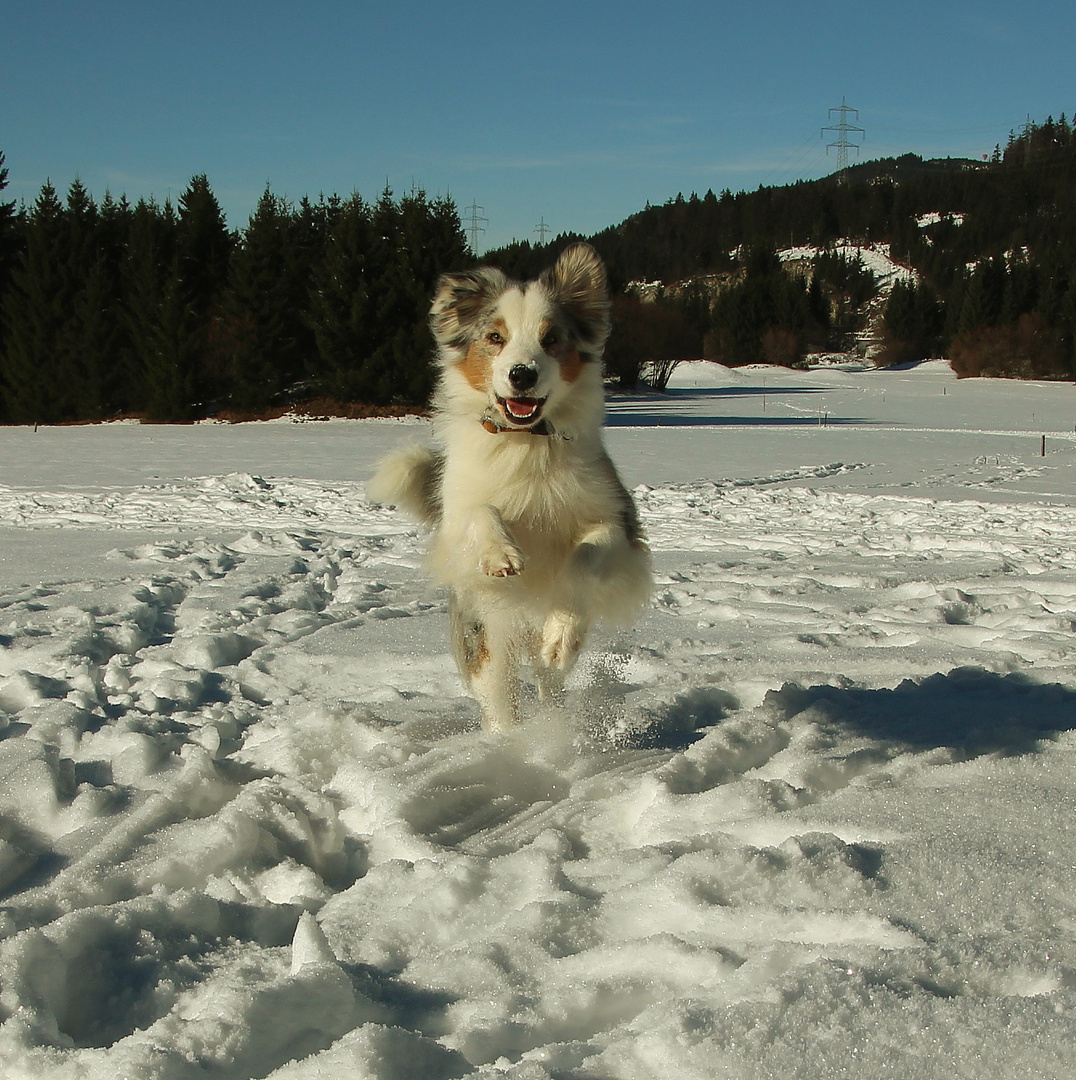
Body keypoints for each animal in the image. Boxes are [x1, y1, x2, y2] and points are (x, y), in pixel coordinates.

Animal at [369, 244, 652, 730]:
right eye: (495, 337)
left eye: (551, 338)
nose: (522, 374)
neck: (525, 442)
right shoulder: (456, 515)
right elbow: (482, 511)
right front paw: (501, 554)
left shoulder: (618, 522)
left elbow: (588, 553)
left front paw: (562, 630)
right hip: (487, 635)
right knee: (501, 699)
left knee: (547, 678)